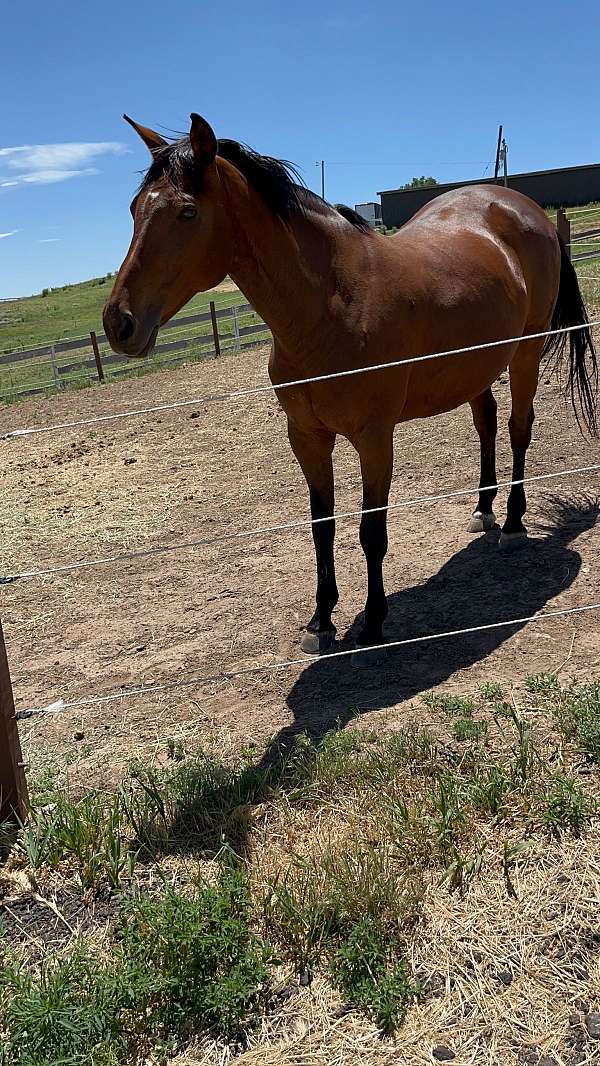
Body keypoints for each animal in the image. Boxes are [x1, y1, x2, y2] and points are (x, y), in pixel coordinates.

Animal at [103, 114, 596, 648]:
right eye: (134, 209)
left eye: (188, 212)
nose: (119, 323)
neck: (333, 305)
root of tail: (525, 210)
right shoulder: (307, 437)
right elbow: (323, 527)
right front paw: (321, 619)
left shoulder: (374, 438)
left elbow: (370, 529)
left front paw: (375, 620)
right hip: (475, 366)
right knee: (486, 422)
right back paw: (482, 510)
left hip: (525, 353)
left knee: (518, 429)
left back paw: (511, 524)